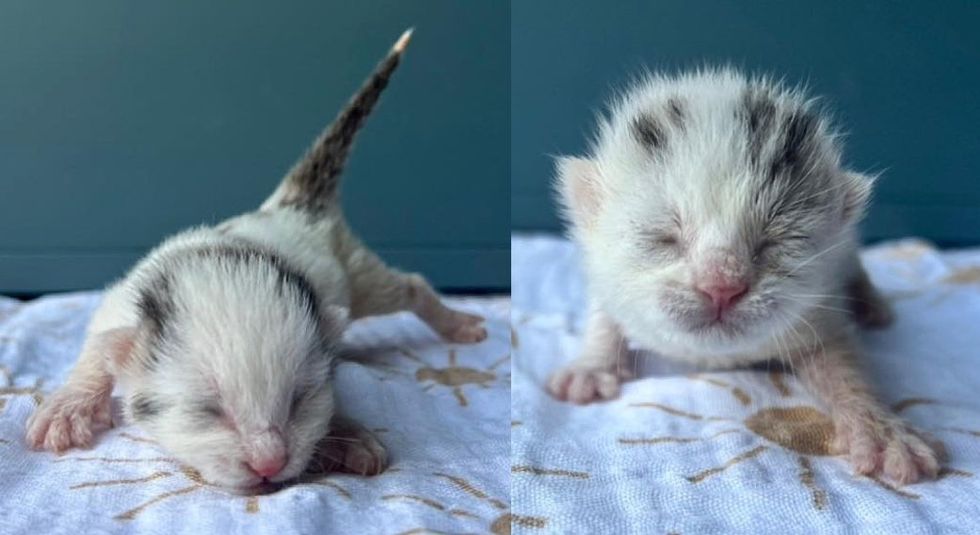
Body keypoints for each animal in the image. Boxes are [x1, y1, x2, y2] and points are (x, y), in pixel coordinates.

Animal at [28, 28, 488, 490]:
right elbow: (97, 345)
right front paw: (68, 406)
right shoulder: (122, 299)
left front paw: (346, 434)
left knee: (410, 286)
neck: (218, 258)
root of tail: (289, 205)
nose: (269, 463)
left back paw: (457, 324)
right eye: (208, 409)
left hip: (357, 271)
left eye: (300, 398)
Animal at [552, 68, 940, 486]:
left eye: (775, 242)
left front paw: (880, 430)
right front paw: (590, 368)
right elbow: (604, 316)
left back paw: (873, 305)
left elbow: (841, 363)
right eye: (663, 238)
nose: (721, 286)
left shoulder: (818, 307)